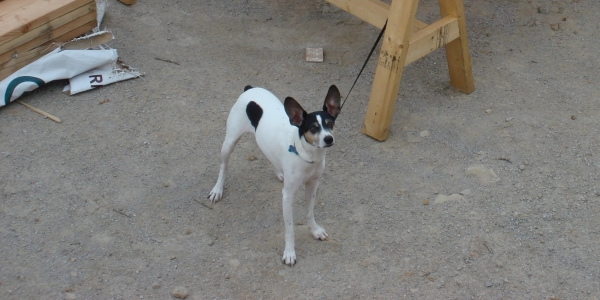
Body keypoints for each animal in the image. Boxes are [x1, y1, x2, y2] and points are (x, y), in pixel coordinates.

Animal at [210, 84, 342, 264]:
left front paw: (315, 230)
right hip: (229, 142)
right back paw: (217, 189)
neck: (306, 155)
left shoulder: (312, 185)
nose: (329, 139)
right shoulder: (287, 195)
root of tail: (249, 89)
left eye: (330, 124)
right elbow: (290, 228)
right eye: (313, 128)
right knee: (224, 166)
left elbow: (309, 212)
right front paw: (289, 252)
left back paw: (279, 172)